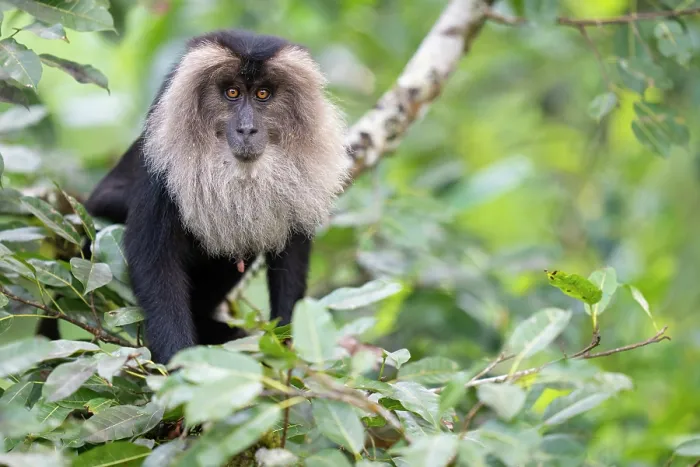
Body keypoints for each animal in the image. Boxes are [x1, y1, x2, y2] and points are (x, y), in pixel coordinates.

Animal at [37, 30, 351, 364]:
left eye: (263, 94)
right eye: (232, 93)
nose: (247, 129)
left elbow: (292, 253)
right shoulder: (162, 162)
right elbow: (153, 259)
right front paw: (177, 366)